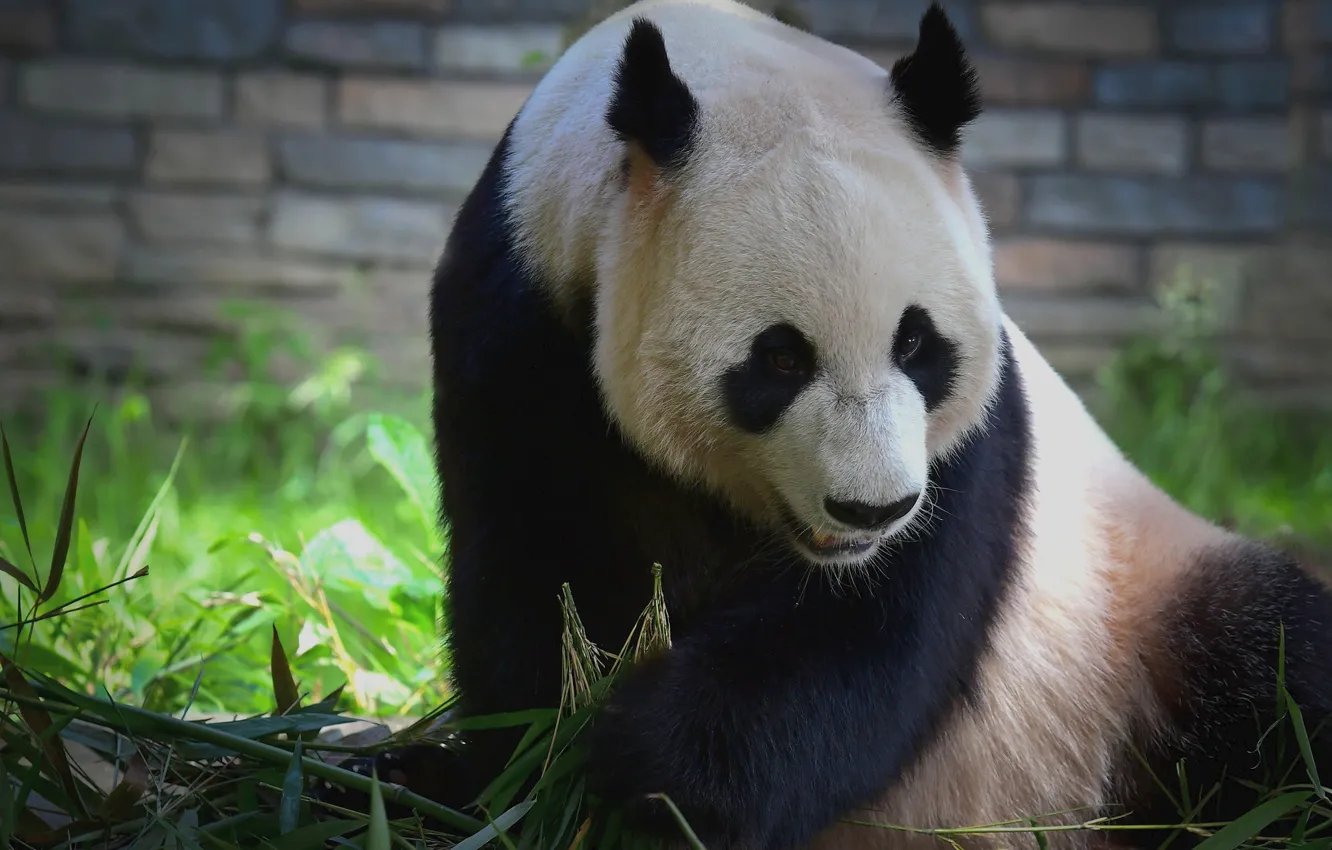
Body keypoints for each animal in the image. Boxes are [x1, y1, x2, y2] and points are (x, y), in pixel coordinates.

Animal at [326, 1, 1332, 848]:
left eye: (918, 343)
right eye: (779, 359)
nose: (870, 510)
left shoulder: (970, 452)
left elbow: (869, 646)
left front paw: (651, 762)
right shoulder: (516, 325)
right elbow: (536, 580)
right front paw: (538, 775)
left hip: (1132, 621)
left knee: (1275, 672)